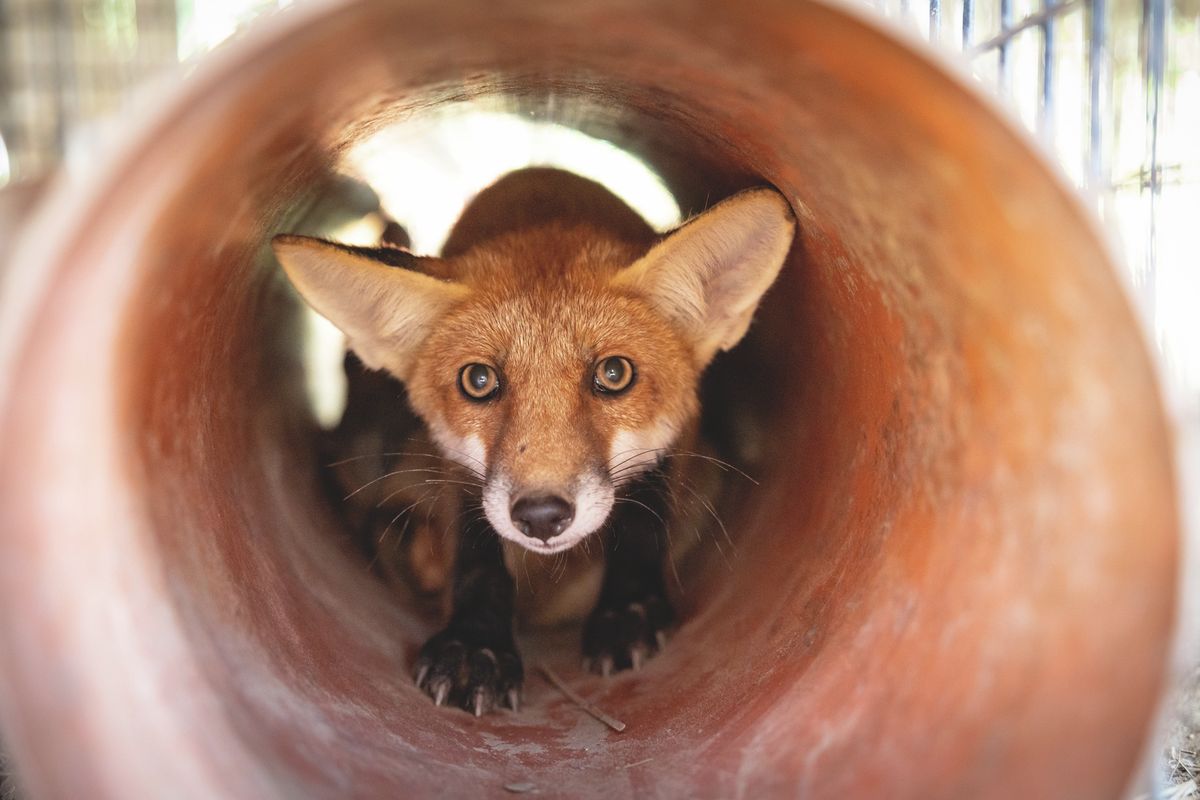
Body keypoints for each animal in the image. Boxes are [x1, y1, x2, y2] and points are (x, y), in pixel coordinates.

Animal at [274, 169, 796, 719]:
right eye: (478, 381)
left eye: (614, 373)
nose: (542, 517)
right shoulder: (456, 474)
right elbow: (477, 556)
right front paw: (475, 643)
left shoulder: (678, 445)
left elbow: (643, 519)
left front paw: (627, 611)